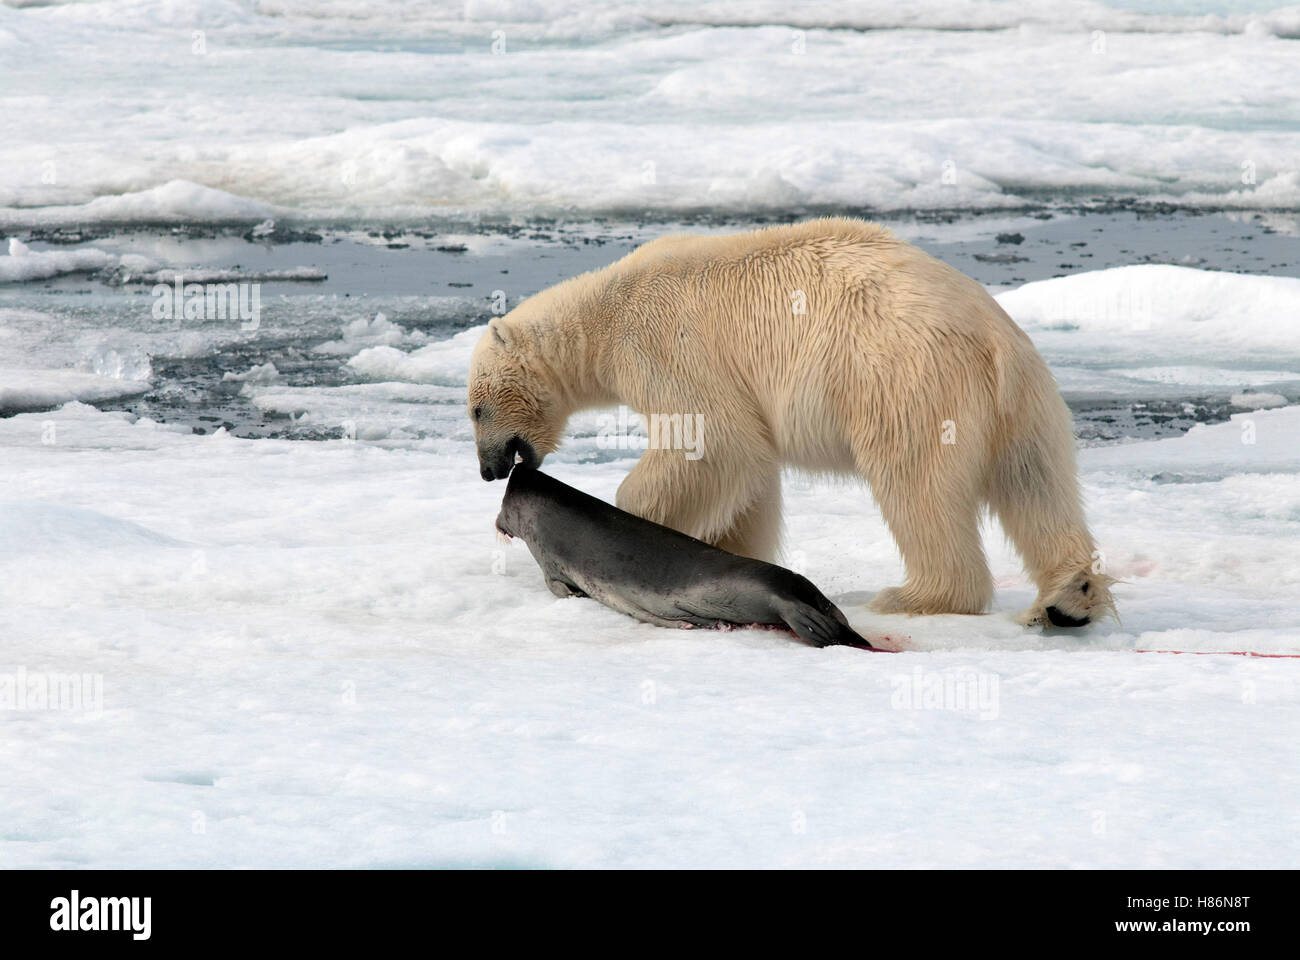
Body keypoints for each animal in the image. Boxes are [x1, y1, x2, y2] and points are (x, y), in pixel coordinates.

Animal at [467, 218, 1115, 627]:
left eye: (475, 408)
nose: (487, 469)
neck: (603, 311)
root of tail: (990, 336)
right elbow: (749, 470)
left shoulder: (664, 343)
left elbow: (711, 441)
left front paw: (634, 522)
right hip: (1027, 400)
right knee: (1036, 482)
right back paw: (1067, 598)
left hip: (906, 381)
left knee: (917, 484)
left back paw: (913, 595)